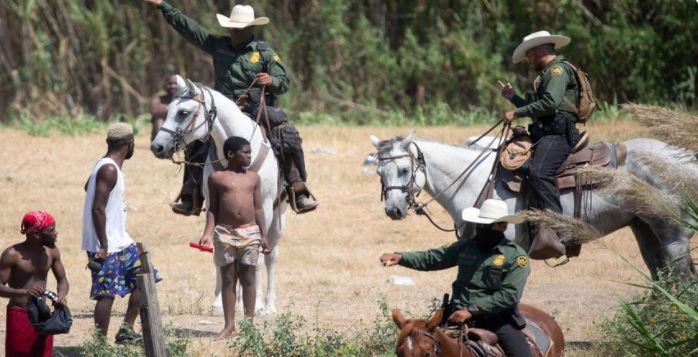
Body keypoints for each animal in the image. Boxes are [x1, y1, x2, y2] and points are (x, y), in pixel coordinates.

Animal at [151, 75, 284, 314]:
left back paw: (268, 306)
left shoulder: (265, 208)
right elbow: (218, 254)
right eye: (168, 110)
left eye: (183, 112)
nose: (157, 146)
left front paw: (257, 304)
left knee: (271, 256)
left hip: (279, 215)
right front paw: (219, 303)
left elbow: (259, 257)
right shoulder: (215, 207)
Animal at [368, 132, 692, 280]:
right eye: (380, 172)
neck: (476, 180)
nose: (394, 211)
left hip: (674, 234)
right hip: (644, 230)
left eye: (404, 170)